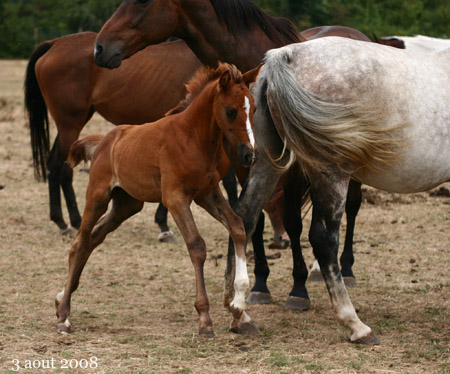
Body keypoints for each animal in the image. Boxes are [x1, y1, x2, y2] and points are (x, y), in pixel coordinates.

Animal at [55, 62, 260, 338]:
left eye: (254, 108)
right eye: (230, 111)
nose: (250, 155)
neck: (194, 138)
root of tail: (104, 140)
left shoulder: (208, 193)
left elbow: (237, 227)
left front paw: (240, 308)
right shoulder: (175, 198)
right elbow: (197, 245)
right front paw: (205, 319)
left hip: (126, 205)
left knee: (94, 237)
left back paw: (61, 298)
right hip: (98, 196)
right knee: (80, 242)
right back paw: (64, 316)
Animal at [94, 0, 372, 312]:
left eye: (142, 1)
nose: (100, 48)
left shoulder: (295, 169)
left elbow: (293, 220)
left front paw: (298, 289)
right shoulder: (245, 163)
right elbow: (254, 219)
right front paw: (261, 284)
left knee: (351, 207)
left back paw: (345, 270)